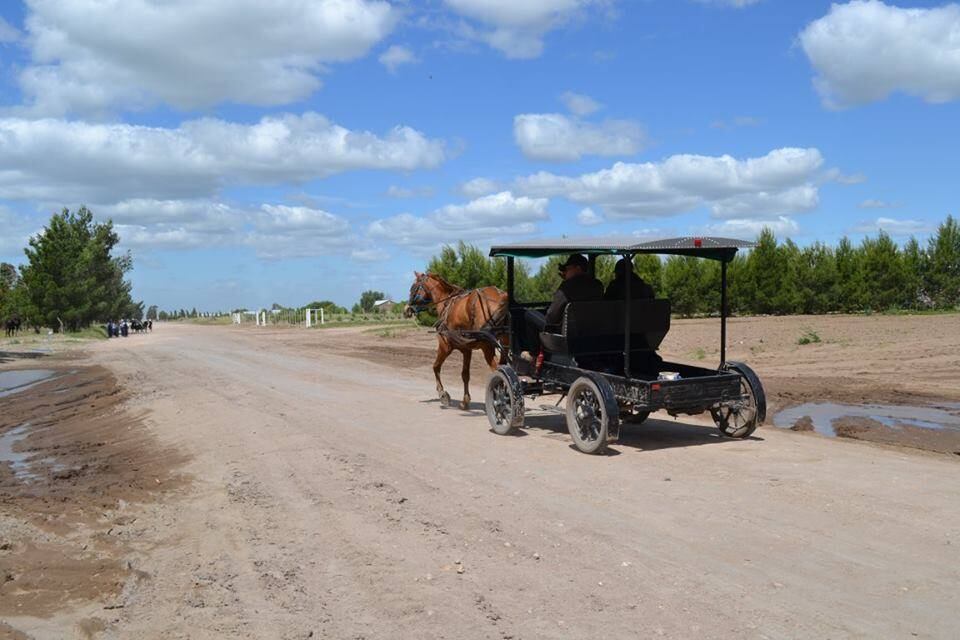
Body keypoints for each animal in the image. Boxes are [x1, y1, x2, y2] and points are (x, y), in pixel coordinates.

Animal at [404, 272, 510, 410]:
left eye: (413, 288)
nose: (406, 309)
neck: (446, 303)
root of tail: (501, 296)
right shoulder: (466, 349)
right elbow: (465, 375)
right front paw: (465, 401)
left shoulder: (444, 346)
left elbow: (436, 367)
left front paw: (443, 394)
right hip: (505, 343)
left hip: (487, 346)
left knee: (498, 370)